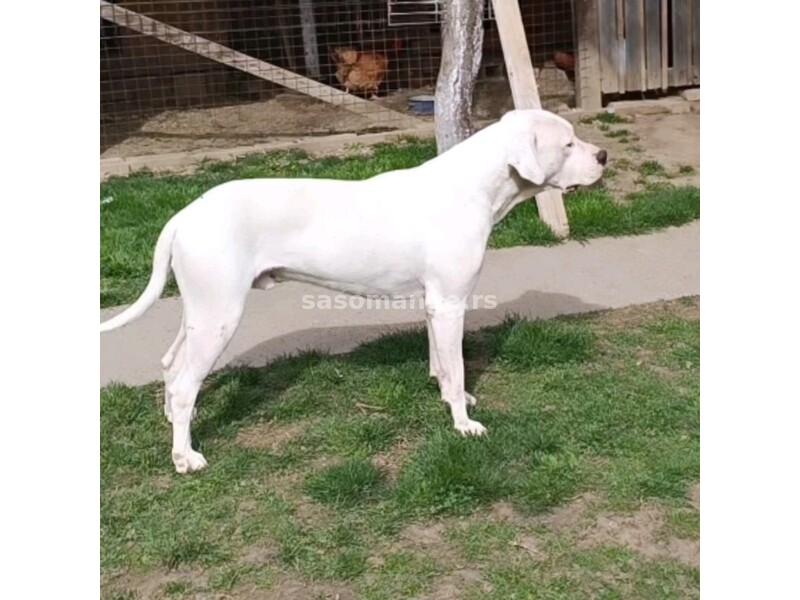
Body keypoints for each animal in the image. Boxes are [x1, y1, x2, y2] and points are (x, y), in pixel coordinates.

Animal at [103, 108, 608, 474]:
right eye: (567, 143)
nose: (603, 155)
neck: (474, 186)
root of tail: (185, 213)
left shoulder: (435, 305)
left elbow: (443, 367)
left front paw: (453, 399)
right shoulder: (449, 304)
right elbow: (459, 366)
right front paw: (463, 425)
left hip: (201, 311)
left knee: (172, 368)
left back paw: (177, 425)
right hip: (219, 315)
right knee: (185, 383)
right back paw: (184, 457)